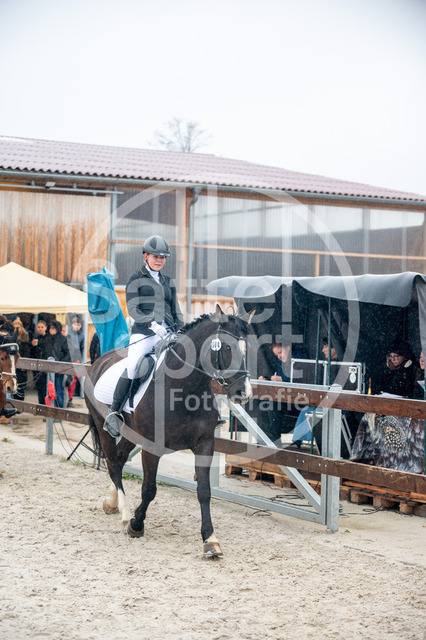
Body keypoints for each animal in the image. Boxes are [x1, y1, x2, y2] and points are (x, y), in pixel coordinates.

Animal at [84, 305, 254, 557]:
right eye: (226, 347)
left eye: (247, 349)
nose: (243, 393)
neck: (184, 389)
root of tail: (99, 361)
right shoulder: (151, 447)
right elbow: (149, 489)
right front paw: (136, 524)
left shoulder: (205, 444)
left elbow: (204, 491)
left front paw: (210, 540)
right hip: (104, 427)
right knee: (113, 465)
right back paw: (125, 516)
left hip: (130, 433)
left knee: (120, 459)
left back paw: (112, 503)